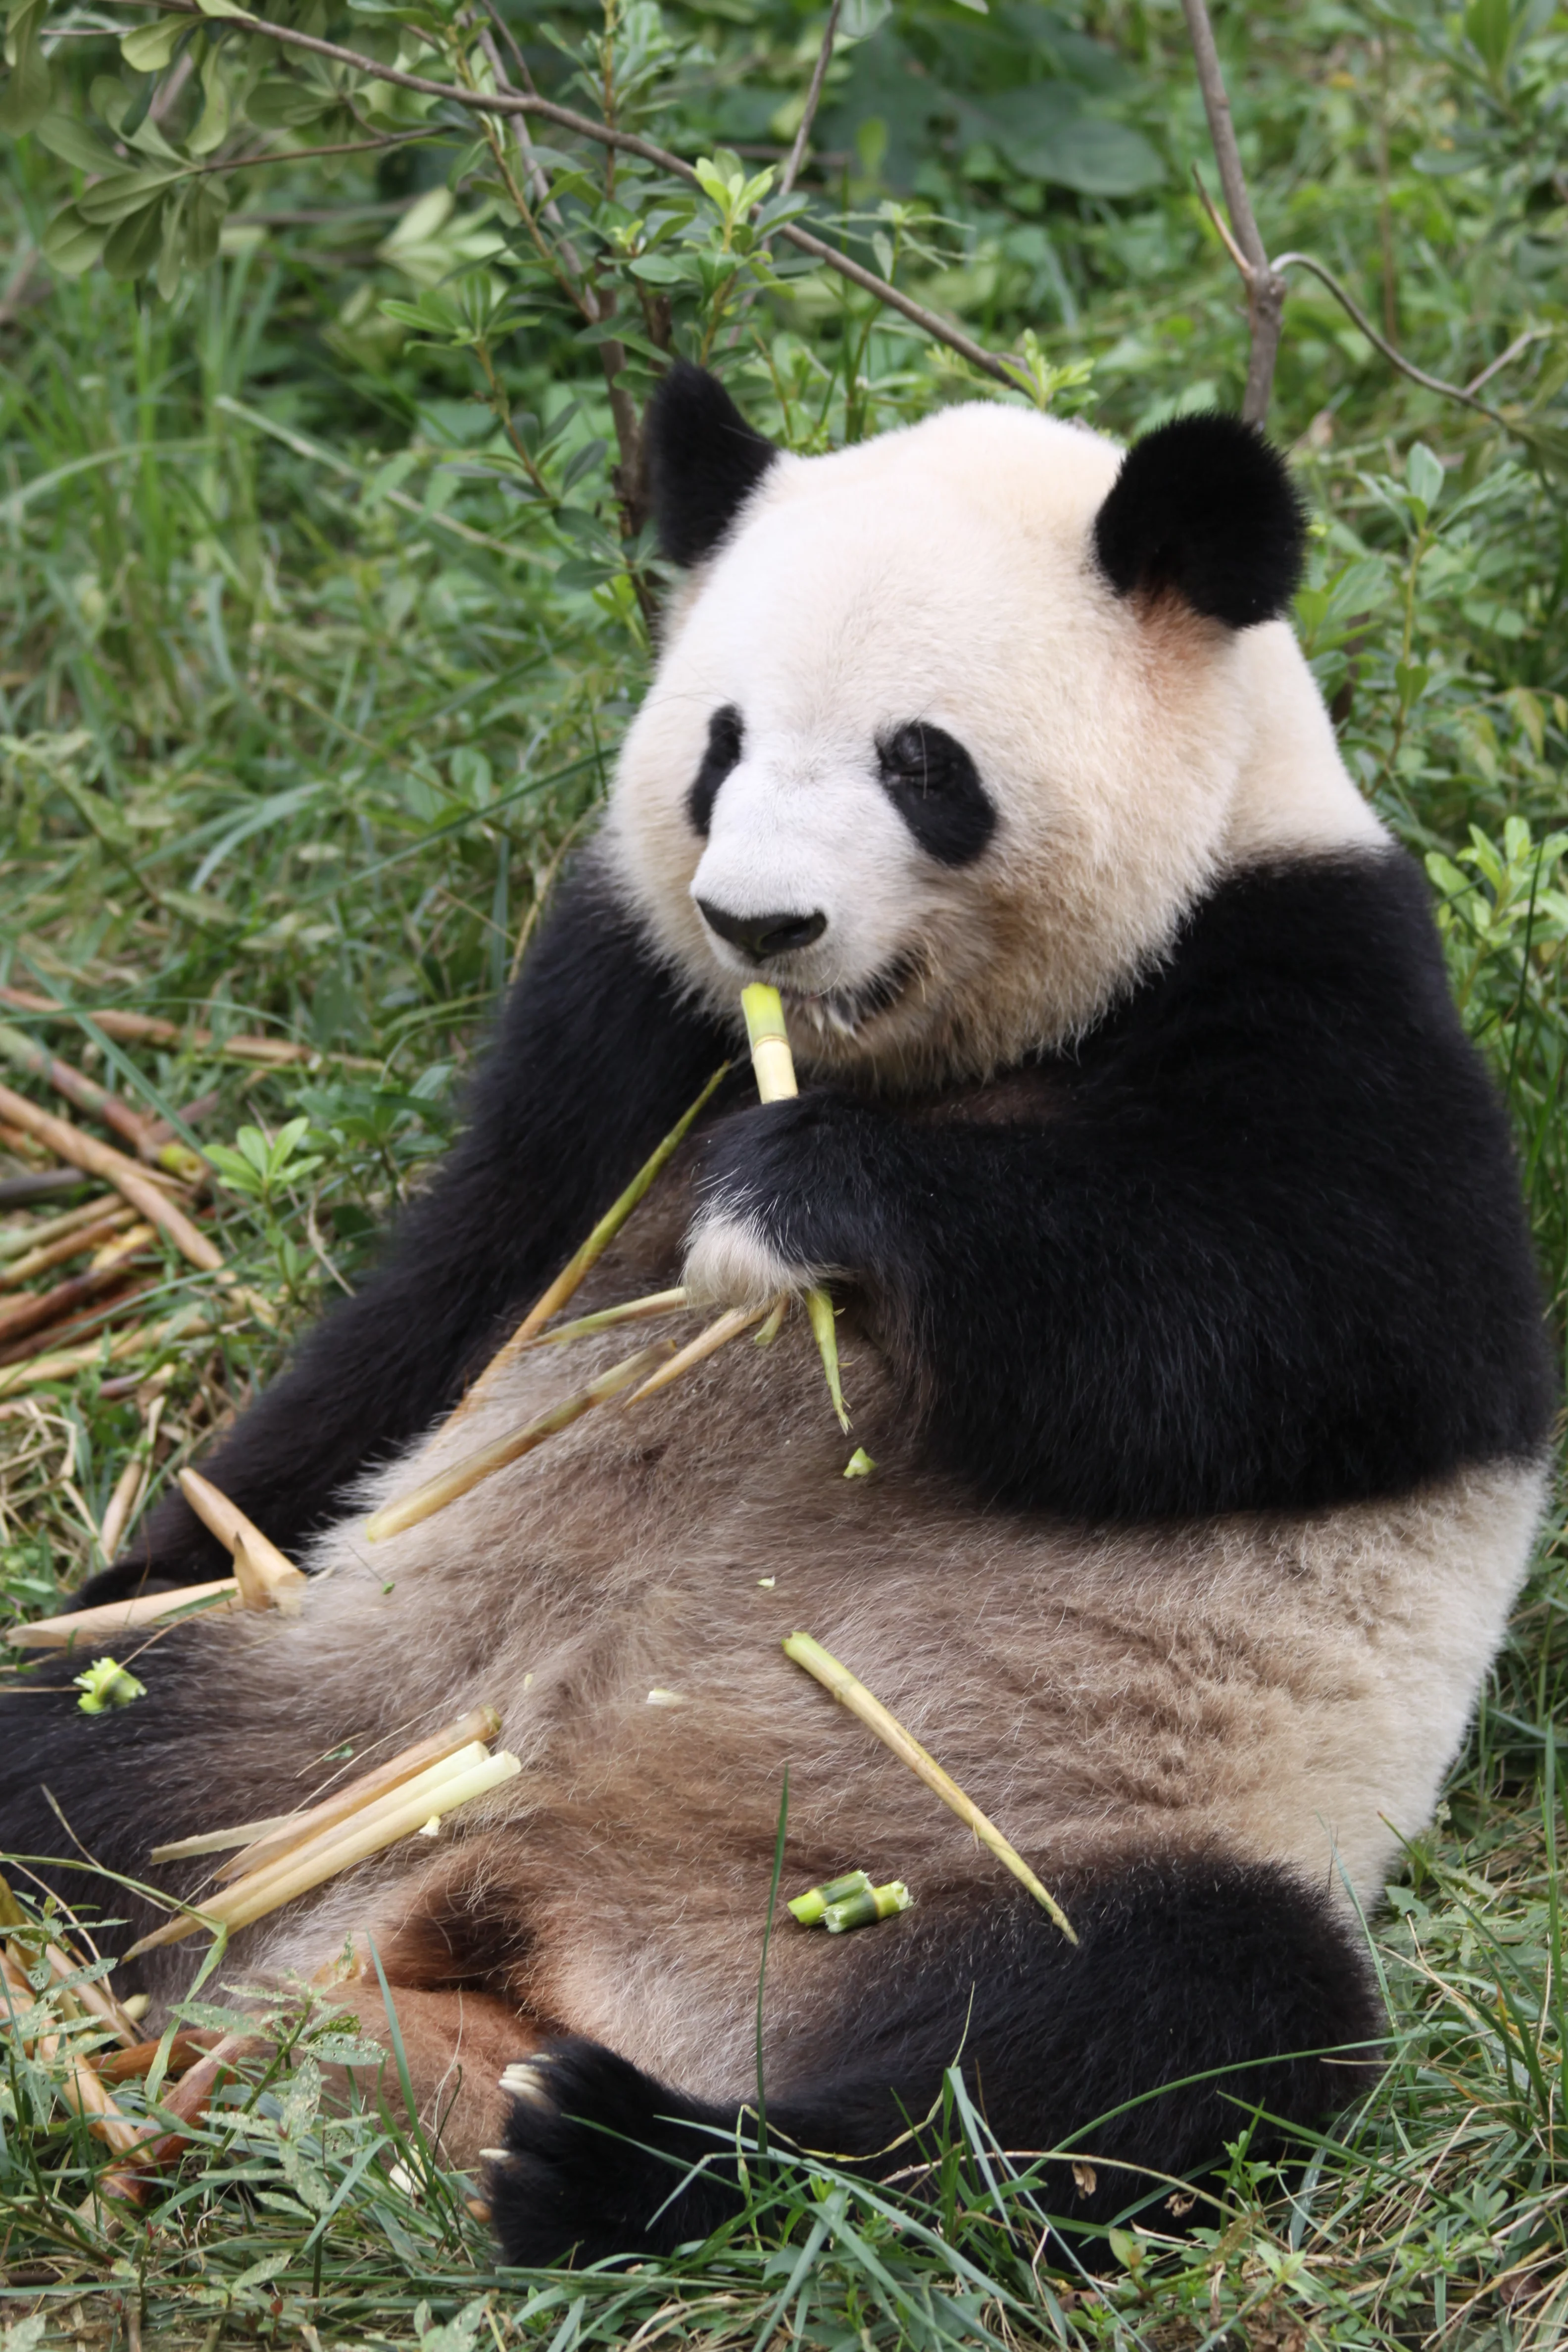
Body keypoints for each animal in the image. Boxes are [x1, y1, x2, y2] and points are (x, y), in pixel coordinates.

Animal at [2, 364, 1553, 2268]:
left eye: (920, 764)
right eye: (719, 744)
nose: (759, 918)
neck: (910, 1051)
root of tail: (451, 1930)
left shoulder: (1314, 968)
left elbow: (1347, 1321)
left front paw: (801, 1204)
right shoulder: (628, 996)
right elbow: (454, 1292)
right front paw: (166, 1543)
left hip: (972, 1859)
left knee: (1128, 2047)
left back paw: (621, 2155)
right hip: (325, 1719)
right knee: (78, 1748)